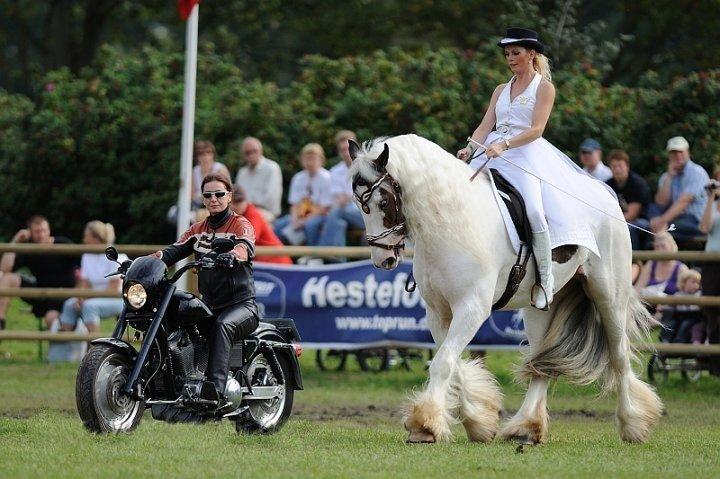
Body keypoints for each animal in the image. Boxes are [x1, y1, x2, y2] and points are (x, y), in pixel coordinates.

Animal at [348, 133, 664, 444]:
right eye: (360, 205)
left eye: (383, 202)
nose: (383, 259)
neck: (450, 220)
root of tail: (607, 198)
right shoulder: (438, 312)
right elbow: (452, 363)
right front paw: (478, 422)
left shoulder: (472, 307)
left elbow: (443, 362)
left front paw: (425, 425)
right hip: (540, 307)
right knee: (540, 363)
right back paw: (526, 427)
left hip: (609, 296)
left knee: (620, 355)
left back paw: (633, 424)